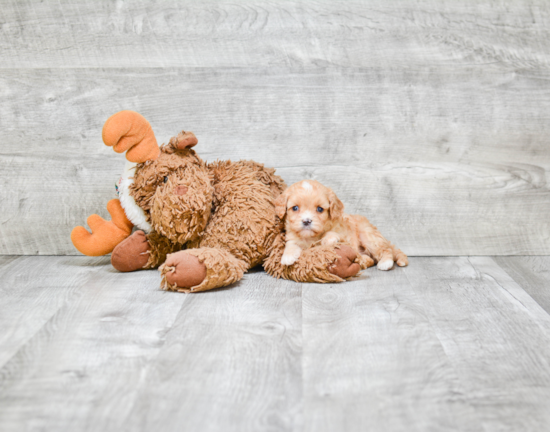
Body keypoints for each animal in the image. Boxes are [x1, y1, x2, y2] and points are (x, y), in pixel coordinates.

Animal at [276, 181, 410, 272]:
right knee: (369, 259)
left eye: (320, 209)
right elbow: (291, 244)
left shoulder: (346, 236)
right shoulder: (292, 236)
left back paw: (385, 262)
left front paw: (328, 239)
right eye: (295, 208)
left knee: (385, 249)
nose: (306, 221)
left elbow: (332, 233)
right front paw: (287, 256)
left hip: (368, 235)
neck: (311, 237)